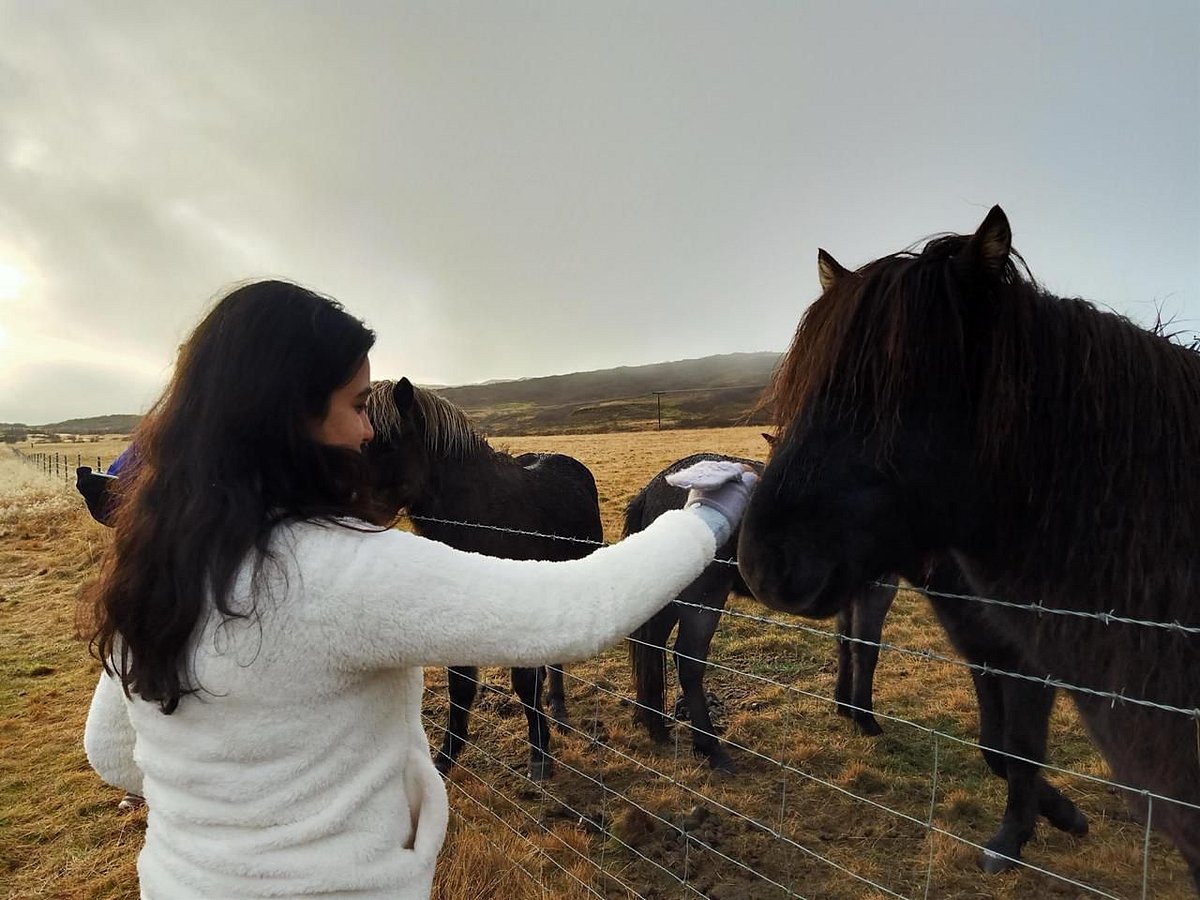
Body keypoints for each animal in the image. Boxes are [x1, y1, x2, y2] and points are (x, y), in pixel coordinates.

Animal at [364, 377, 604, 780]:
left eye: (386, 442)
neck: (480, 517)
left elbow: (524, 683)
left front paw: (540, 755)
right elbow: (460, 686)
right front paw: (445, 759)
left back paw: (557, 710)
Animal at [737, 206, 1199, 888]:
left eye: (900, 390)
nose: (762, 563)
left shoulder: (1029, 664)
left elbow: (1021, 747)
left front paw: (1026, 831)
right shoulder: (985, 653)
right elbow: (995, 745)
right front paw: (1051, 816)